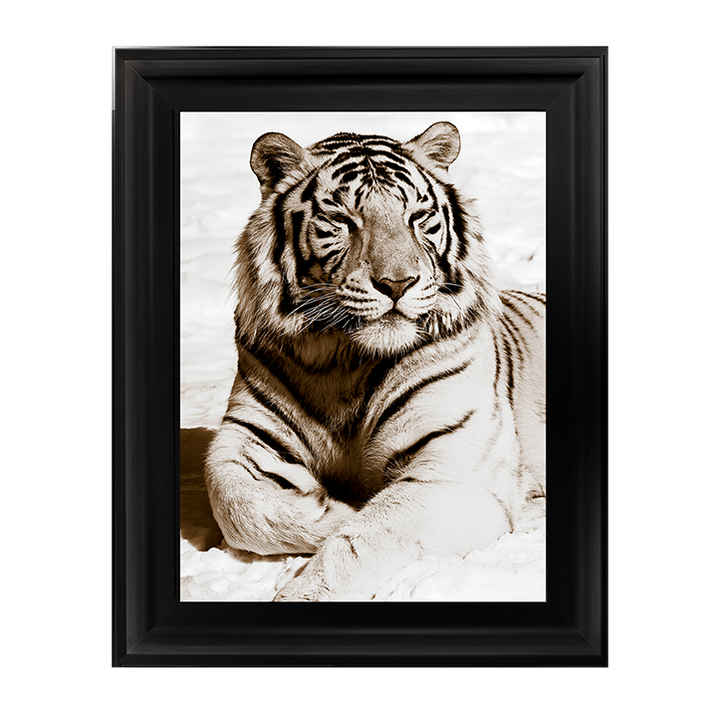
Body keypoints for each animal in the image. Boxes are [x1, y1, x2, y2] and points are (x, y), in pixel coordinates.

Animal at [204, 121, 546, 601]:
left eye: (417, 217)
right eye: (343, 221)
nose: (398, 283)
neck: (344, 360)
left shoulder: (454, 471)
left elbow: (367, 538)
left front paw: (309, 586)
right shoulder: (246, 434)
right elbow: (234, 503)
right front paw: (333, 507)